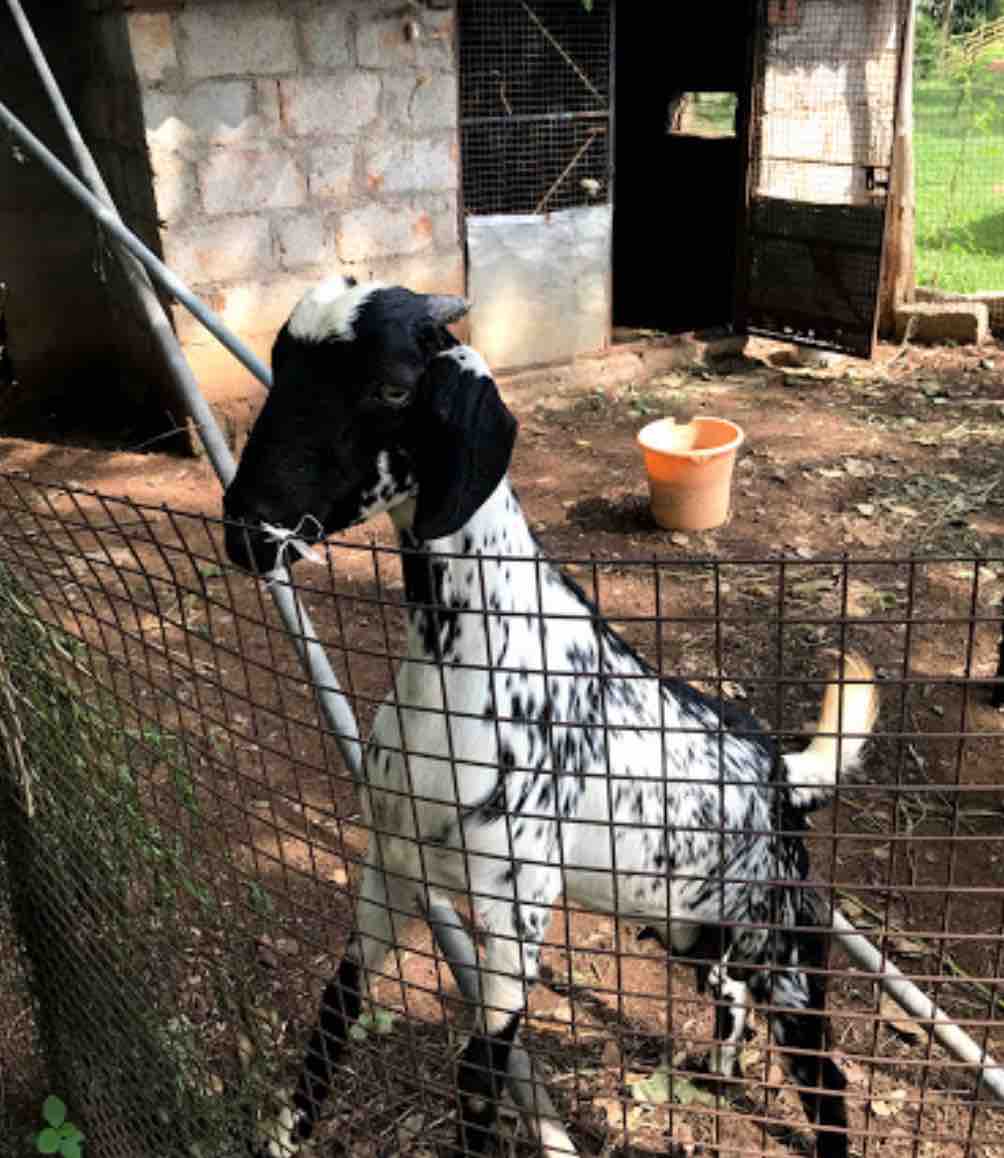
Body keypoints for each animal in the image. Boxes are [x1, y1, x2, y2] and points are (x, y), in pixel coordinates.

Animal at [222, 275, 880, 1158]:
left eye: (392, 388)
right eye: (281, 366)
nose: (246, 530)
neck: (474, 652)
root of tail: (781, 771)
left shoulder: (515, 916)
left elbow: (477, 1078)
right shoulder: (389, 875)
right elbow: (335, 1009)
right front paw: (286, 1136)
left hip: (785, 943)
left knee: (824, 1073)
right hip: (687, 923)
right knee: (729, 995)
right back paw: (716, 1069)